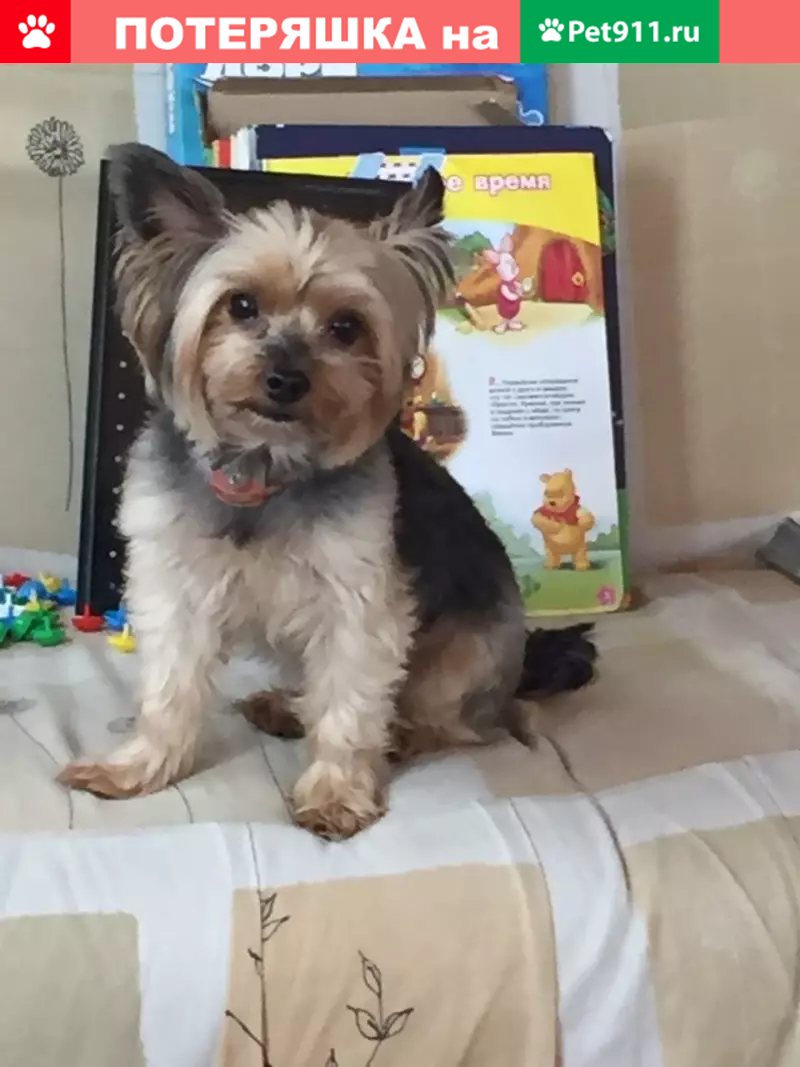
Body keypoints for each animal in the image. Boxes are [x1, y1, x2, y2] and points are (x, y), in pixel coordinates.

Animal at [59, 145, 597, 839]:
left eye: (346, 326)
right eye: (240, 306)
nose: (287, 378)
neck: (262, 467)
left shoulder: (358, 602)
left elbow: (350, 702)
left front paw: (337, 793)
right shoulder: (176, 587)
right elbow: (169, 688)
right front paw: (137, 766)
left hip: (466, 656)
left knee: (454, 724)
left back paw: (401, 735)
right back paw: (287, 707)